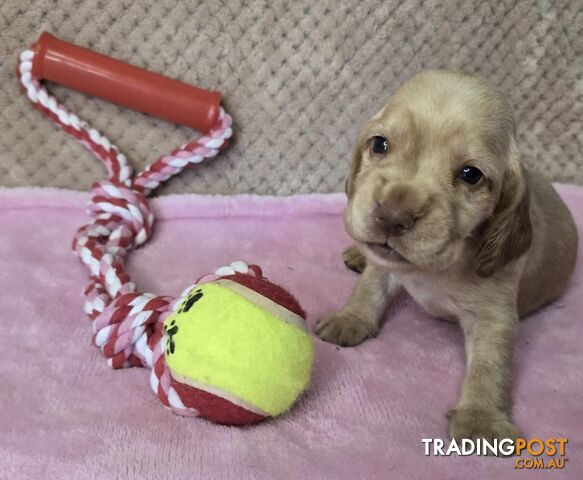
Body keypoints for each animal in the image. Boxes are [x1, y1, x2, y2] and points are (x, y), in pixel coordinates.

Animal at [320, 70, 580, 442]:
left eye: (471, 175)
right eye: (380, 144)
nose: (392, 216)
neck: (432, 267)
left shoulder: (493, 317)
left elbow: (489, 366)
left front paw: (480, 417)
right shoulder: (384, 264)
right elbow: (370, 285)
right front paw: (350, 317)